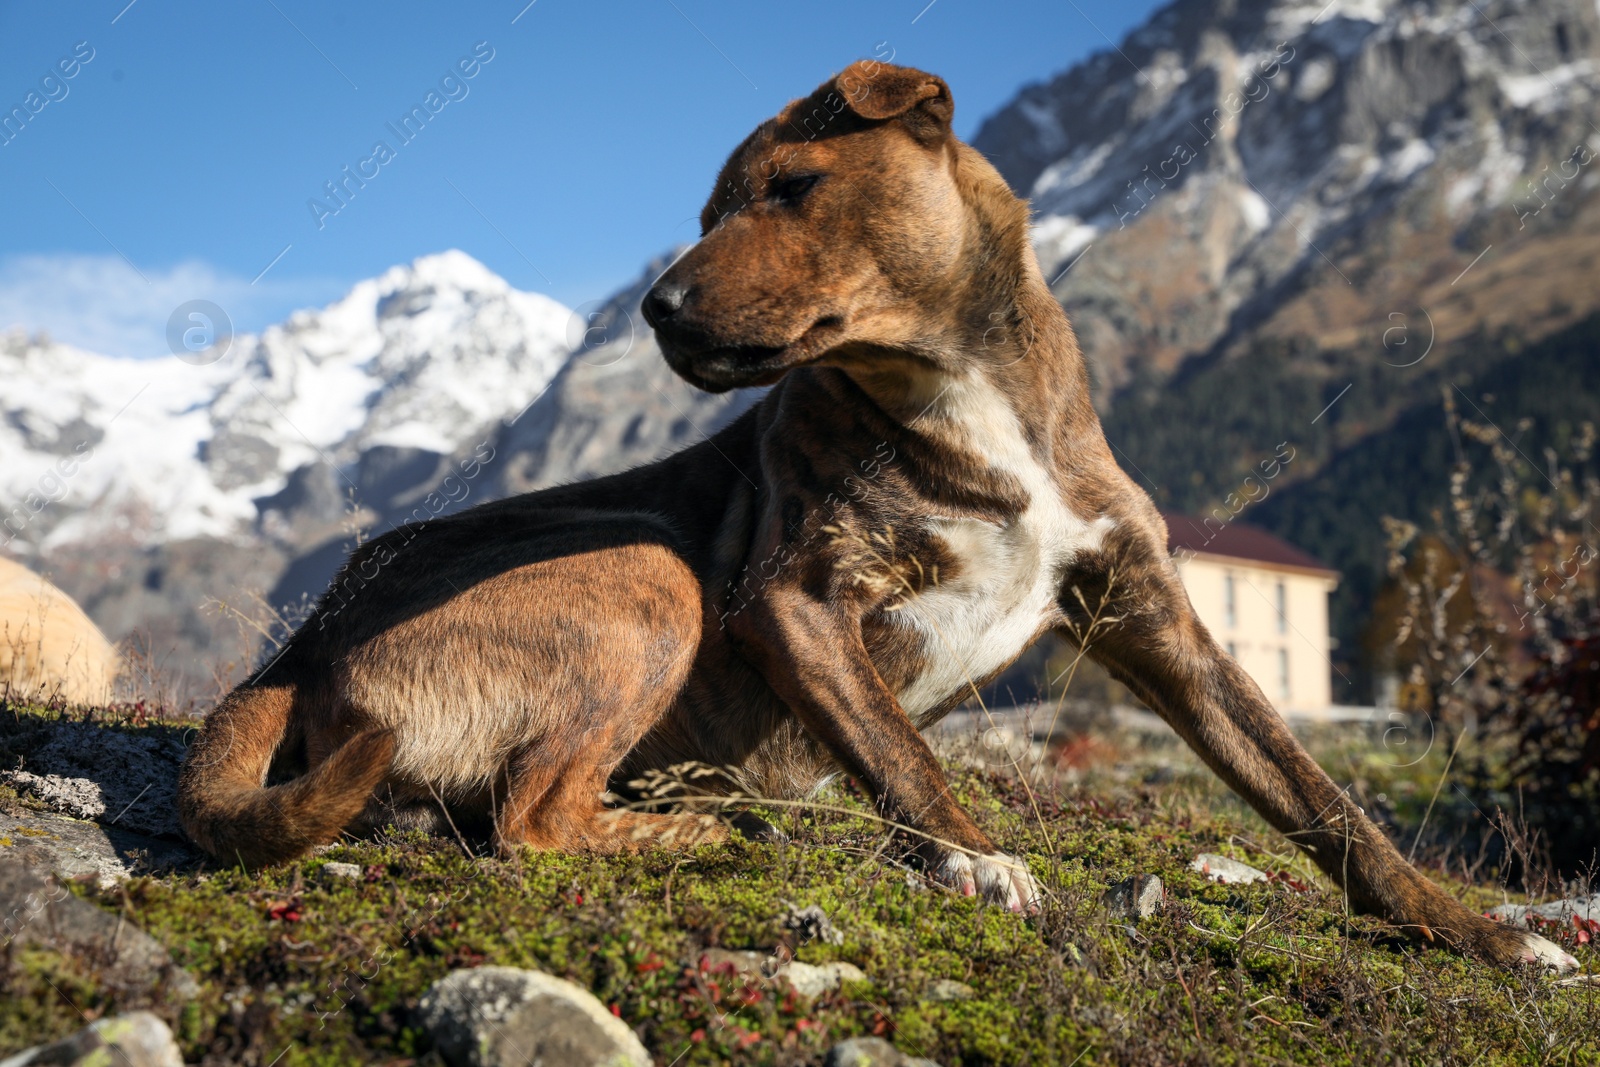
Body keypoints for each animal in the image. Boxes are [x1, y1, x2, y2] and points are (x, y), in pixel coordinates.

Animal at [178, 62, 1574, 972]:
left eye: (792, 187)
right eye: (710, 214)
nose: (657, 311)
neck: (953, 389)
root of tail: (299, 646)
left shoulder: (1158, 623)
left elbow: (1323, 800)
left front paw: (1478, 932)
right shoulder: (795, 600)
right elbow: (905, 753)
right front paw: (974, 858)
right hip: (650, 573)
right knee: (529, 823)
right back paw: (700, 829)